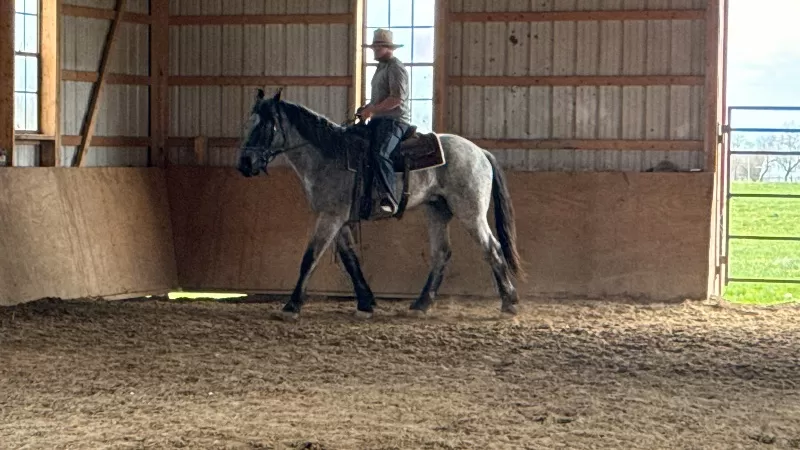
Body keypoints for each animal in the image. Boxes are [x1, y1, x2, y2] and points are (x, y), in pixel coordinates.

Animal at [236, 88, 524, 320]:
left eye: (267, 126)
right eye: (249, 122)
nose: (245, 164)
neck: (329, 155)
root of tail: (479, 152)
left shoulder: (330, 217)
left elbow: (310, 257)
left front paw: (292, 306)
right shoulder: (340, 219)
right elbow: (350, 259)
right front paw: (366, 303)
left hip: (470, 212)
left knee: (492, 249)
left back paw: (509, 303)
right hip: (437, 209)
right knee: (442, 252)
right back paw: (421, 304)